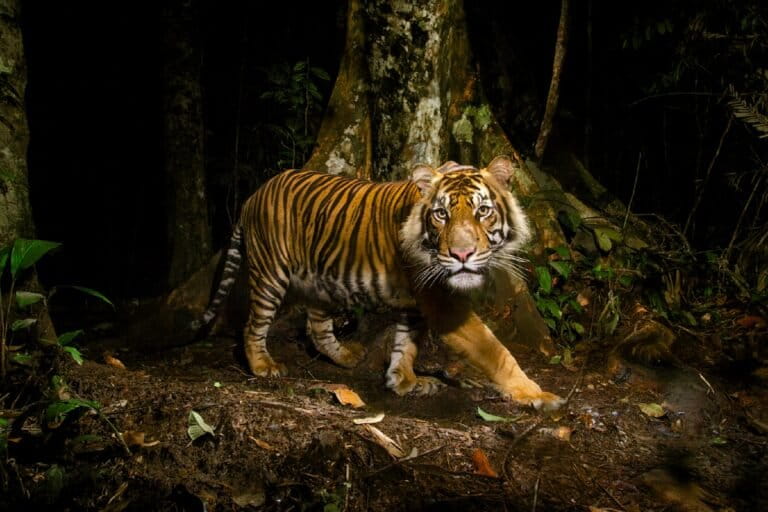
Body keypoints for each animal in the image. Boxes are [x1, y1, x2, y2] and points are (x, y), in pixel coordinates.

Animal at [196, 156, 564, 410]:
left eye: (482, 211)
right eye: (441, 214)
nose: (461, 254)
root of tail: (253, 195)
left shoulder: (417, 303)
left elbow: (406, 345)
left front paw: (404, 381)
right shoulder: (442, 304)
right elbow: (496, 351)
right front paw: (537, 394)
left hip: (320, 281)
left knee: (317, 327)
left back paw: (347, 357)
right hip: (271, 273)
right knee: (253, 324)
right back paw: (263, 366)